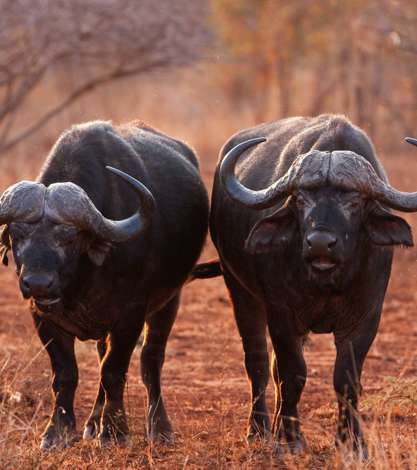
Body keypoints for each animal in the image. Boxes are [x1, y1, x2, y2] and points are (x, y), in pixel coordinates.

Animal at [0, 120, 208, 448]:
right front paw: (57, 431)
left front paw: (114, 431)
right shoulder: (42, 315)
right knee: (101, 355)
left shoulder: (131, 313)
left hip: (170, 300)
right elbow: (66, 373)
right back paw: (91, 423)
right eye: (17, 233)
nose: (38, 284)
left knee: (150, 360)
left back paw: (159, 428)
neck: (83, 281)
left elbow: (114, 370)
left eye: (69, 237)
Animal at [211, 114, 416, 456]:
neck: (328, 281)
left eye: (355, 201)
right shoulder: (281, 314)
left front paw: (352, 442)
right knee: (259, 362)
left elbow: (346, 379)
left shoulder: (366, 317)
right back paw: (260, 430)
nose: (320, 244)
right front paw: (293, 439)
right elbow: (293, 374)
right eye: (301, 198)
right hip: (238, 289)